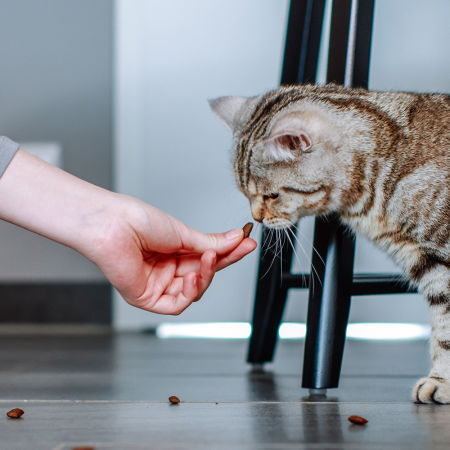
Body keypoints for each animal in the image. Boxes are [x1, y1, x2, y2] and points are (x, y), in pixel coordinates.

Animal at [210, 84, 450, 404]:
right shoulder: (428, 264)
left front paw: (441, 382)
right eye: (244, 193)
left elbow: (446, 331)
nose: (256, 217)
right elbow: (443, 326)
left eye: (272, 195)